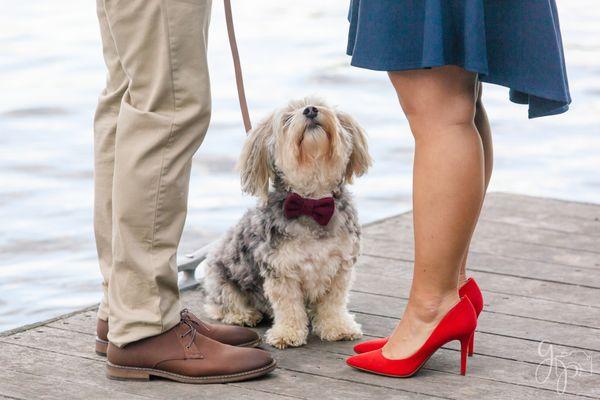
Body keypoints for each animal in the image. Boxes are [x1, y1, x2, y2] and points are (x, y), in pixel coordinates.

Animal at [203, 96, 370, 346]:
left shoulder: (340, 266)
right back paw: (244, 315)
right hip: (220, 274)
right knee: (221, 304)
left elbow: (333, 303)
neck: (311, 202)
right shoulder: (281, 269)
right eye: (287, 118)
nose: (310, 110)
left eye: (320, 104)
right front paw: (288, 333)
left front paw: (338, 327)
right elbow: (288, 305)